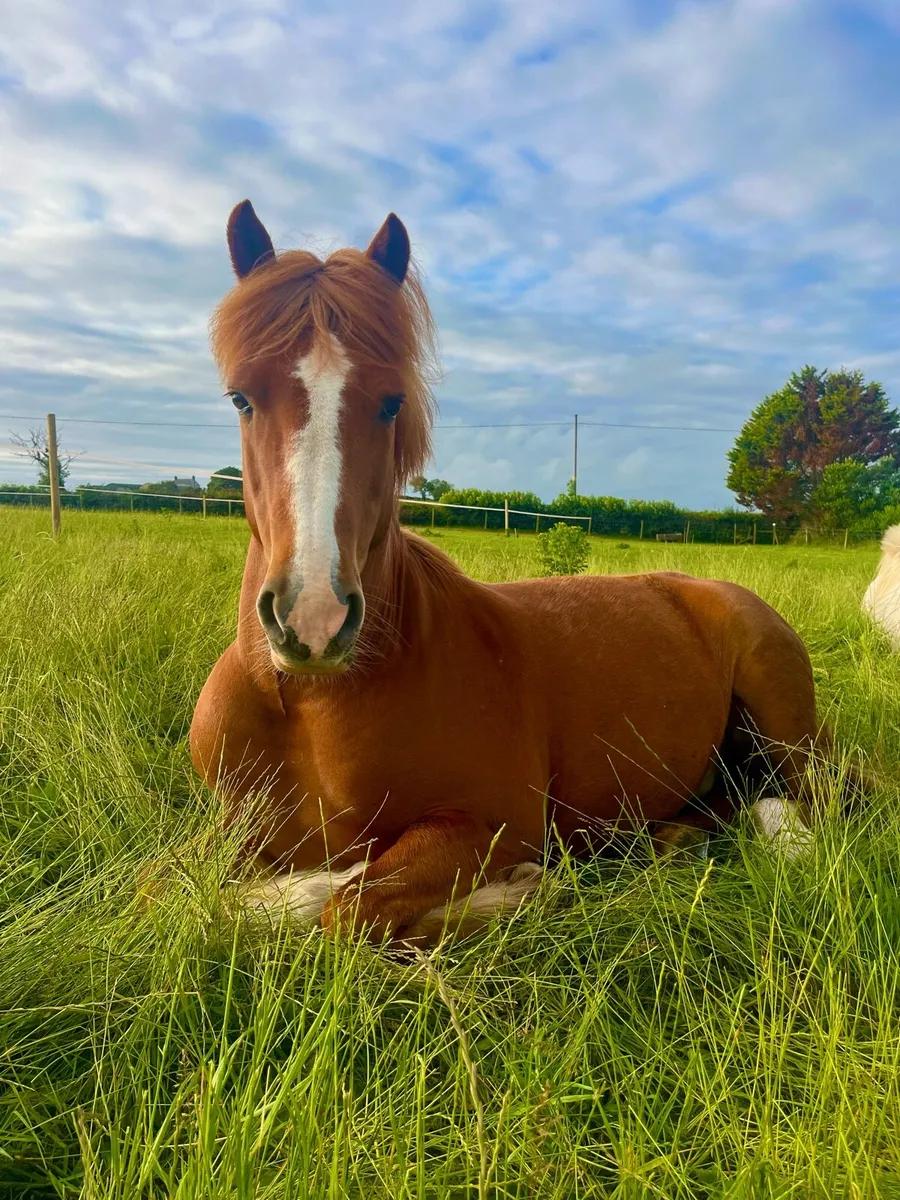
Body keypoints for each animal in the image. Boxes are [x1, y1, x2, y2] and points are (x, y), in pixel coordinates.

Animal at [189, 200, 830, 946]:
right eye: (241, 398)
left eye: (391, 402)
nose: (314, 619)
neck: (313, 707)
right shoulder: (226, 830)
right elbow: (178, 892)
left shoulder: (490, 825)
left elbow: (351, 909)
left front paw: (515, 890)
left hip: (787, 732)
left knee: (796, 806)